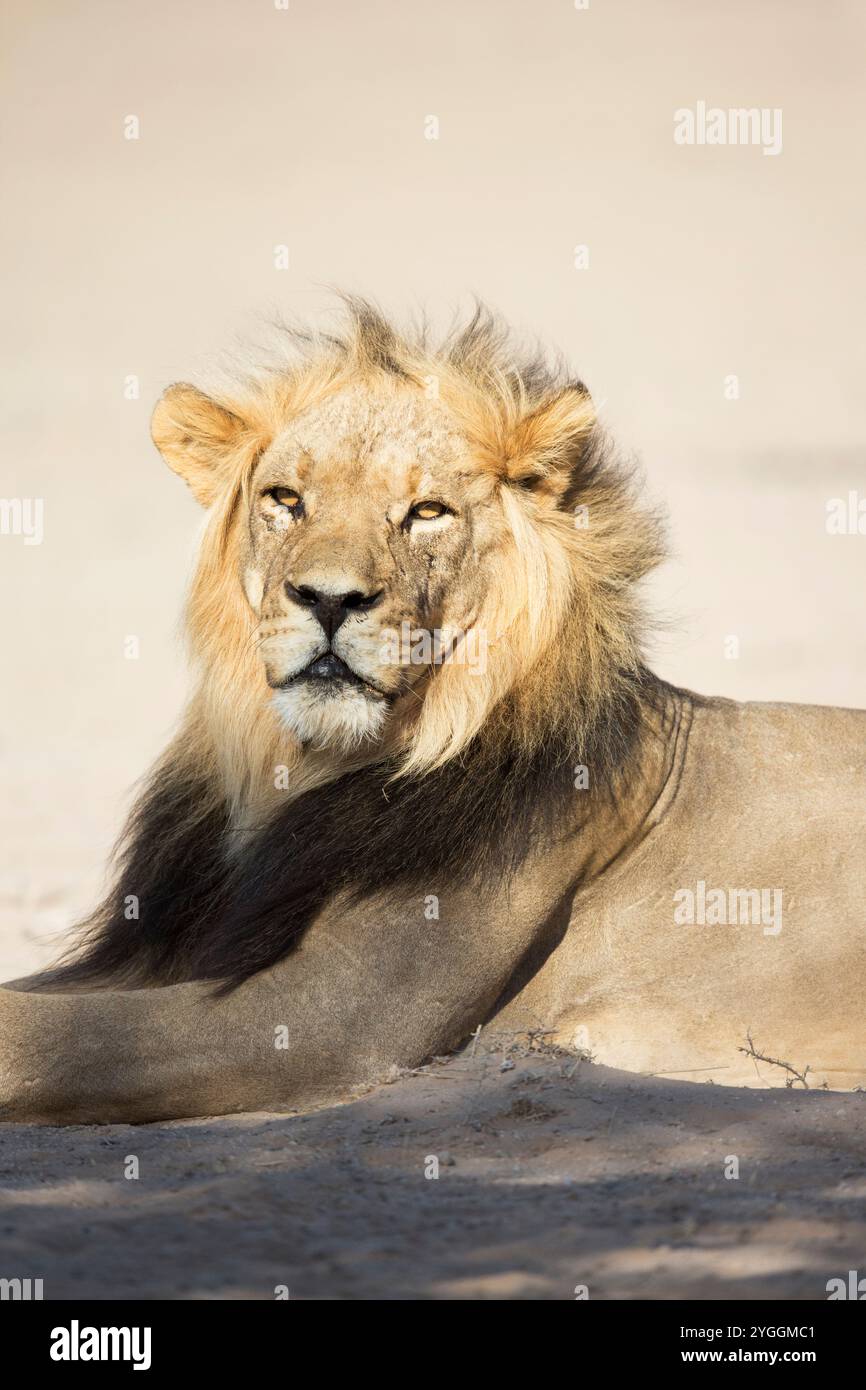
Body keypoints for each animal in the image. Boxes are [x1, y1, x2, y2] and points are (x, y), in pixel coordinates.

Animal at [1, 298, 866, 1123]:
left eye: (426, 511)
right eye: (286, 500)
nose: (329, 599)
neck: (293, 769)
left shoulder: (330, 1018)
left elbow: (51, 1039)